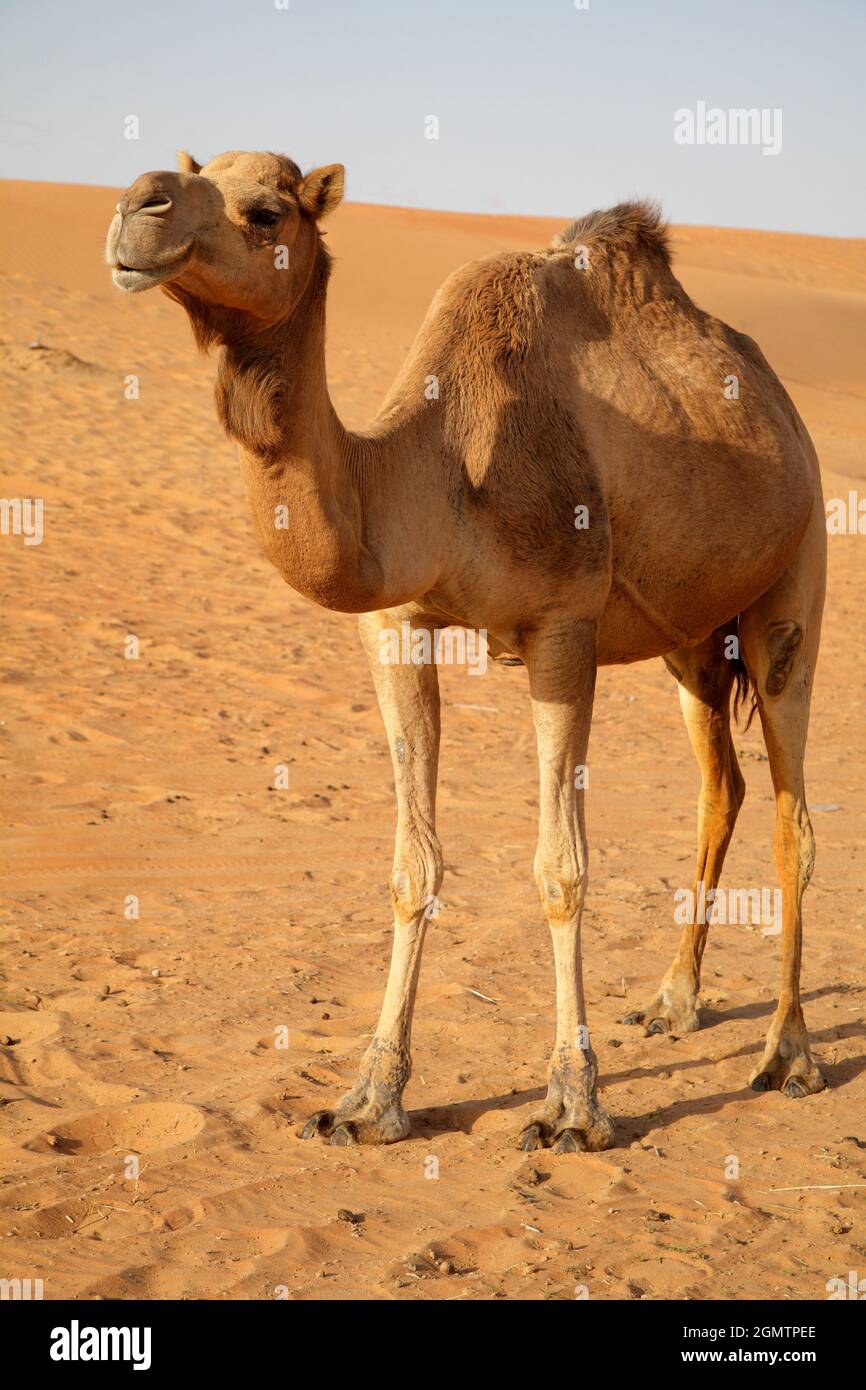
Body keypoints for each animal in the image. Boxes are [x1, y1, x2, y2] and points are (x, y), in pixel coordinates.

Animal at [107, 149, 828, 1150]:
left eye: (266, 212)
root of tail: (784, 409)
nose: (139, 204)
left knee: (793, 815)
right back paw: (674, 1002)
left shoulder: (562, 628)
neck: (441, 472)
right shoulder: (397, 625)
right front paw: (368, 1100)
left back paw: (787, 1055)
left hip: (794, 584)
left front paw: (572, 1108)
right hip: (690, 642)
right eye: (197, 168)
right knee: (721, 790)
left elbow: (561, 868)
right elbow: (414, 864)